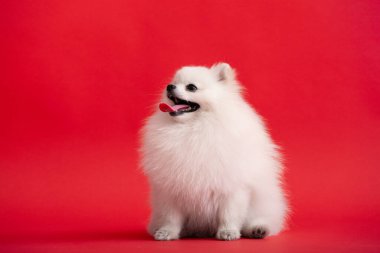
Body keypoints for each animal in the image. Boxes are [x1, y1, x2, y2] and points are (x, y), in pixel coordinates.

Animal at [140, 63, 288, 241]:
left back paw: (258, 229)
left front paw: (228, 231)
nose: (169, 87)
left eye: (191, 87)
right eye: (173, 82)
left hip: (262, 204)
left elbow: (229, 213)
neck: (193, 128)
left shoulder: (231, 187)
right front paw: (167, 232)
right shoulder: (171, 189)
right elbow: (171, 217)